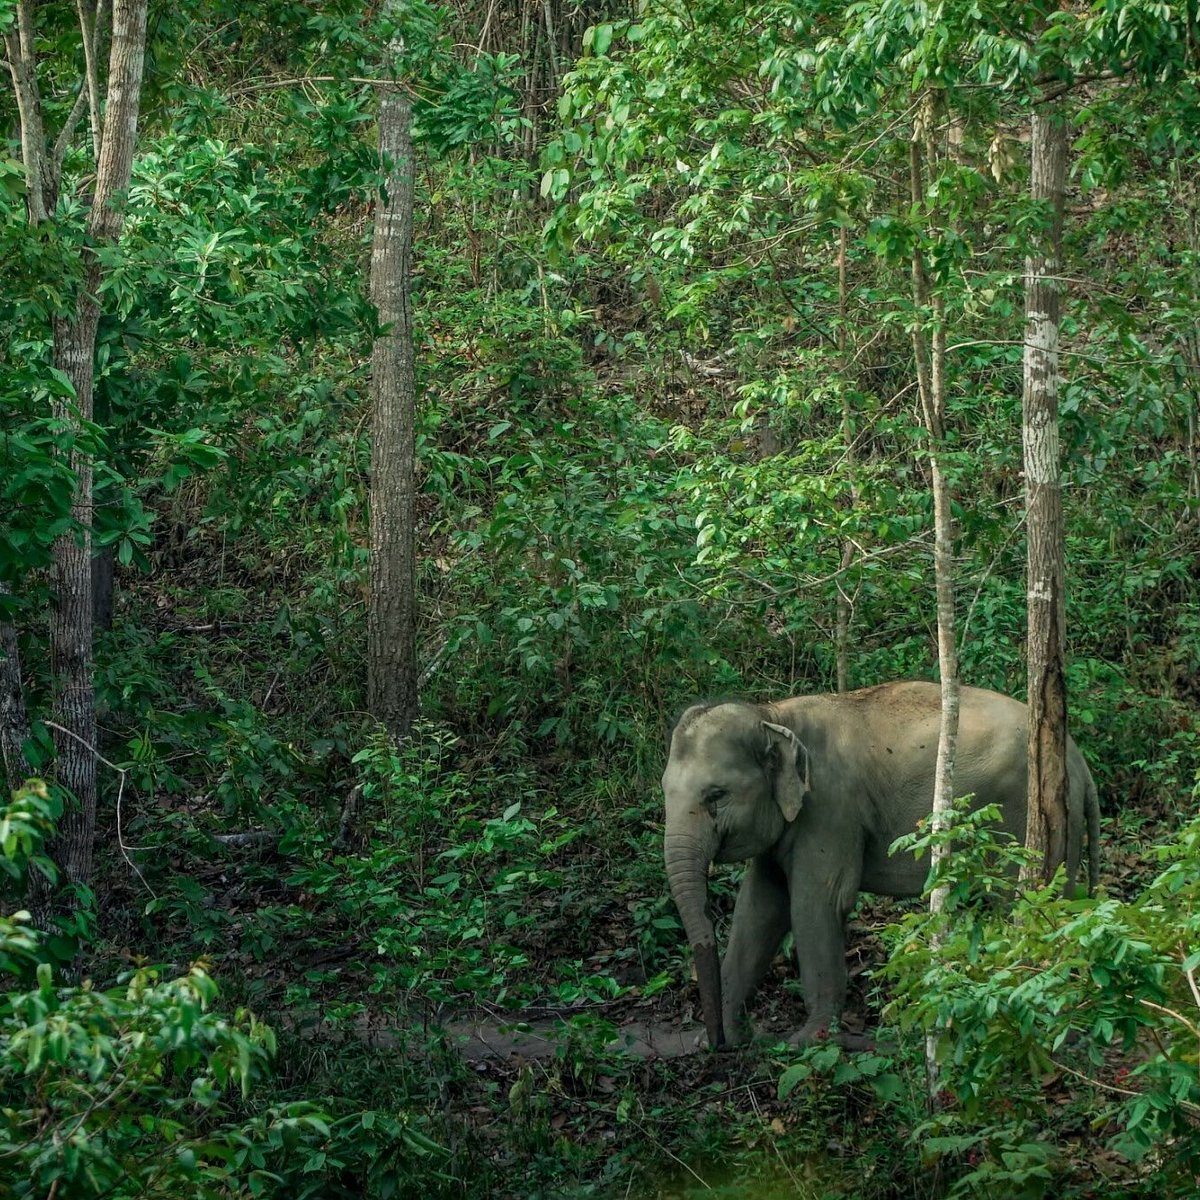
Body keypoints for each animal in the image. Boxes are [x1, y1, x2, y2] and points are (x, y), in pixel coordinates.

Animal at [661, 681, 1101, 1050]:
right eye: (664, 790)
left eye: (716, 795)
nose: (717, 1043)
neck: (773, 714)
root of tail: (1080, 760)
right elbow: (758, 910)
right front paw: (725, 1040)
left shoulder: (831, 808)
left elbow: (816, 903)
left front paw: (806, 1043)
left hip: (1023, 819)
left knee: (1023, 904)